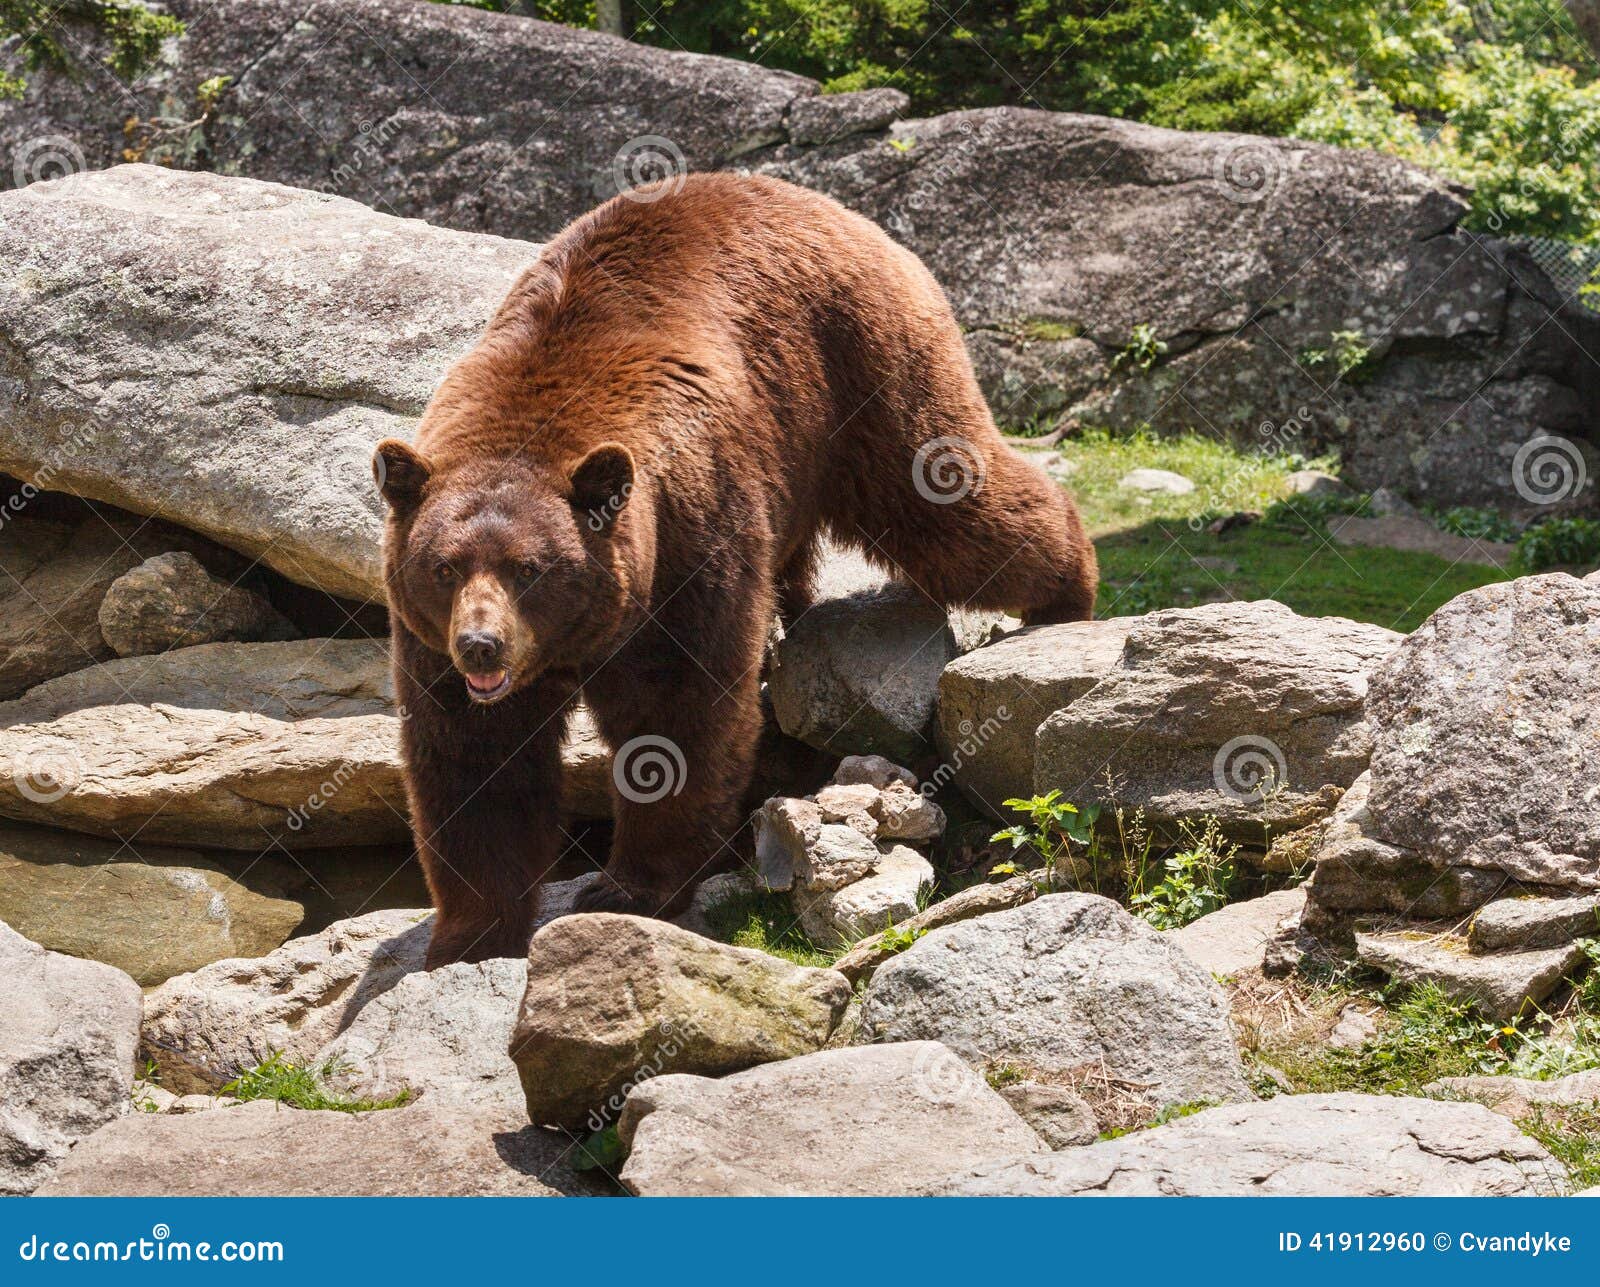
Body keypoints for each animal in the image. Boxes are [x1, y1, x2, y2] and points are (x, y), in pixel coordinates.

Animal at [376, 171, 1100, 966]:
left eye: (530, 569)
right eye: (445, 568)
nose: (482, 645)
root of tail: (836, 208)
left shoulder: (687, 543)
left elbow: (676, 715)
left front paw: (627, 887)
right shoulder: (433, 641)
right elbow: (474, 758)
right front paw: (468, 935)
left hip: (861, 374)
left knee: (947, 504)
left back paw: (1069, 590)